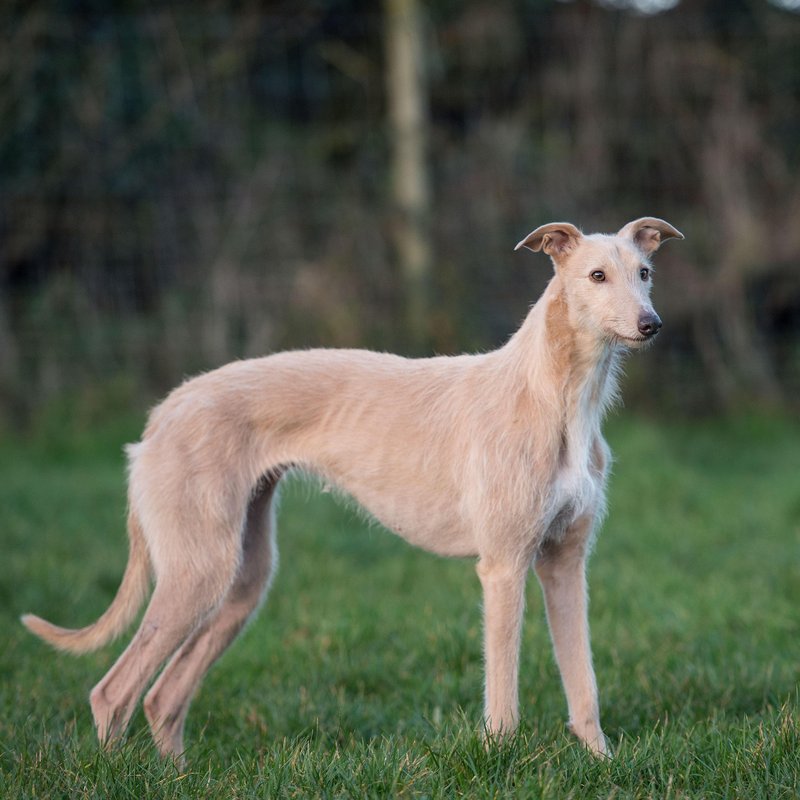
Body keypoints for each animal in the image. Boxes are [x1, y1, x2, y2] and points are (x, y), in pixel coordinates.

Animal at [21, 219, 680, 764]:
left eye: (644, 272)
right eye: (596, 275)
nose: (651, 325)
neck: (554, 395)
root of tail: (161, 415)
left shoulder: (565, 564)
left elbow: (584, 686)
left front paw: (602, 764)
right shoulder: (504, 566)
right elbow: (504, 695)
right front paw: (499, 760)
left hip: (241, 579)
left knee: (161, 696)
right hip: (196, 570)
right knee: (113, 690)